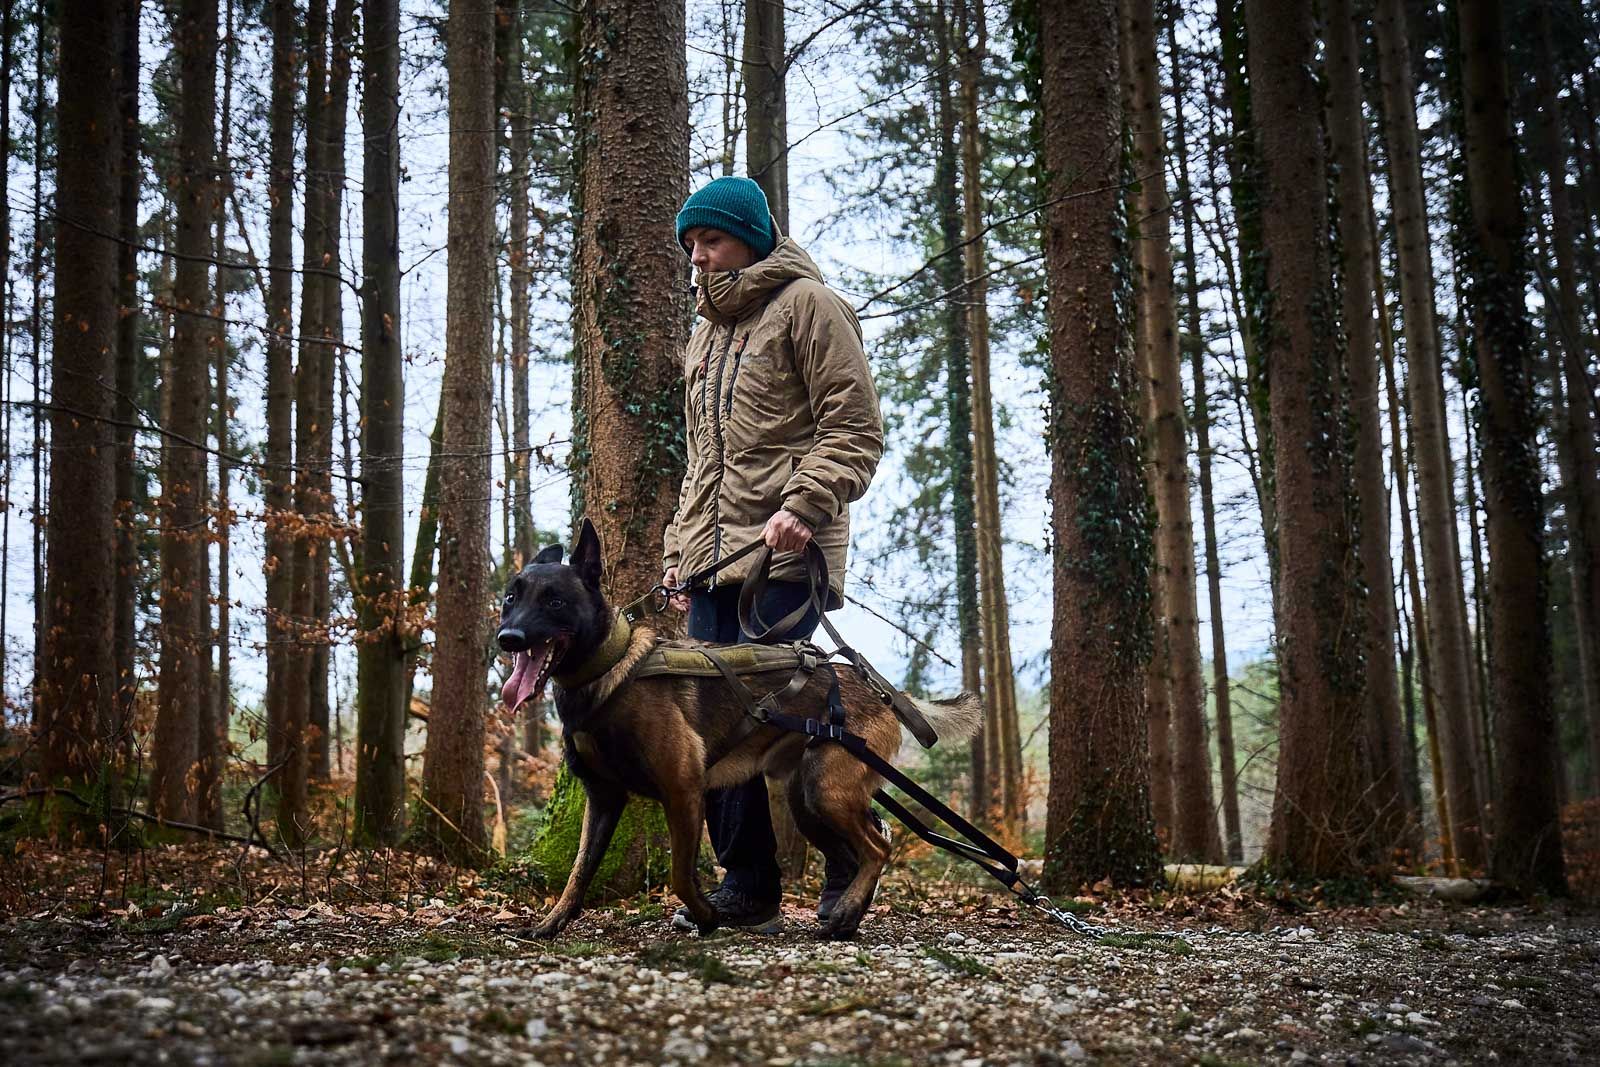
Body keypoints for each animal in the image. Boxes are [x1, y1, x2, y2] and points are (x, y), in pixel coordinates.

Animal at [499, 521, 979, 940]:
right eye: (509, 598)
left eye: (555, 601)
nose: (508, 638)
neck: (609, 670)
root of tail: (879, 688)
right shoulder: (602, 799)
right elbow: (579, 871)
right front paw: (552, 922)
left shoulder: (682, 790)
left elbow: (680, 874)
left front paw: (707, 916)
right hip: (808, 800)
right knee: (861, 847)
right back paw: (847, 917)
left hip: (826, 790)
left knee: (877, 849)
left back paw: (844, 913)